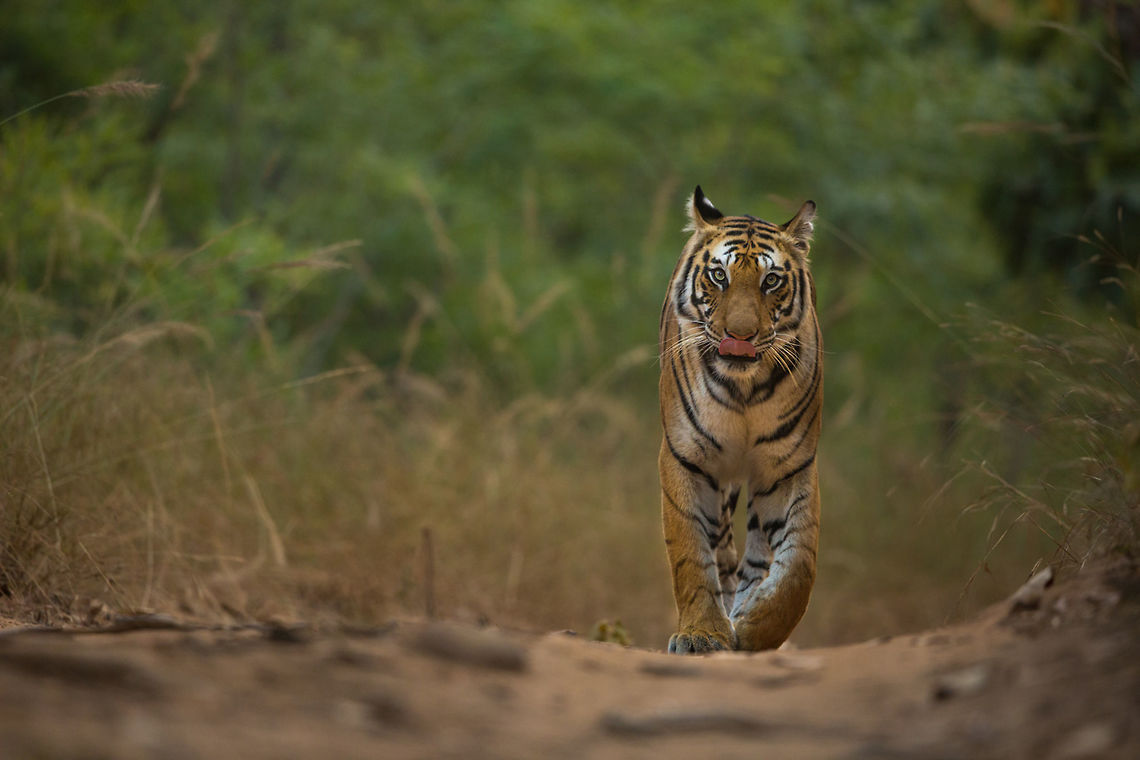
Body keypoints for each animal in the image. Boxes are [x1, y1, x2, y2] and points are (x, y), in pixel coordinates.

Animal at [659, 186, 822, 653]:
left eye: (771, 281)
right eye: (719, 276)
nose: (740, 337)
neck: (743, 389)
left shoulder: (789, 465)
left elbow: (799, 566)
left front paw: (753, 628)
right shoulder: (686, 457)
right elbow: (690, 556)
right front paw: (701, 634)